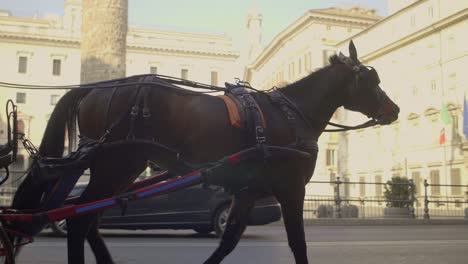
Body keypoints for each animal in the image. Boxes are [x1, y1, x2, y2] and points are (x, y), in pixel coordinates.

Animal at [9, 41, 396, 264]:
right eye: (371, 80)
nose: (394, 110)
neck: (288, 114)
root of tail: (94, 88)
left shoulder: (248, 192)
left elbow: (229, 240)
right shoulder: (291, 189)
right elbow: (298, 244)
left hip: (118, 169)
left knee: (87, 220)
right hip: (115, 164)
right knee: (78, 220)